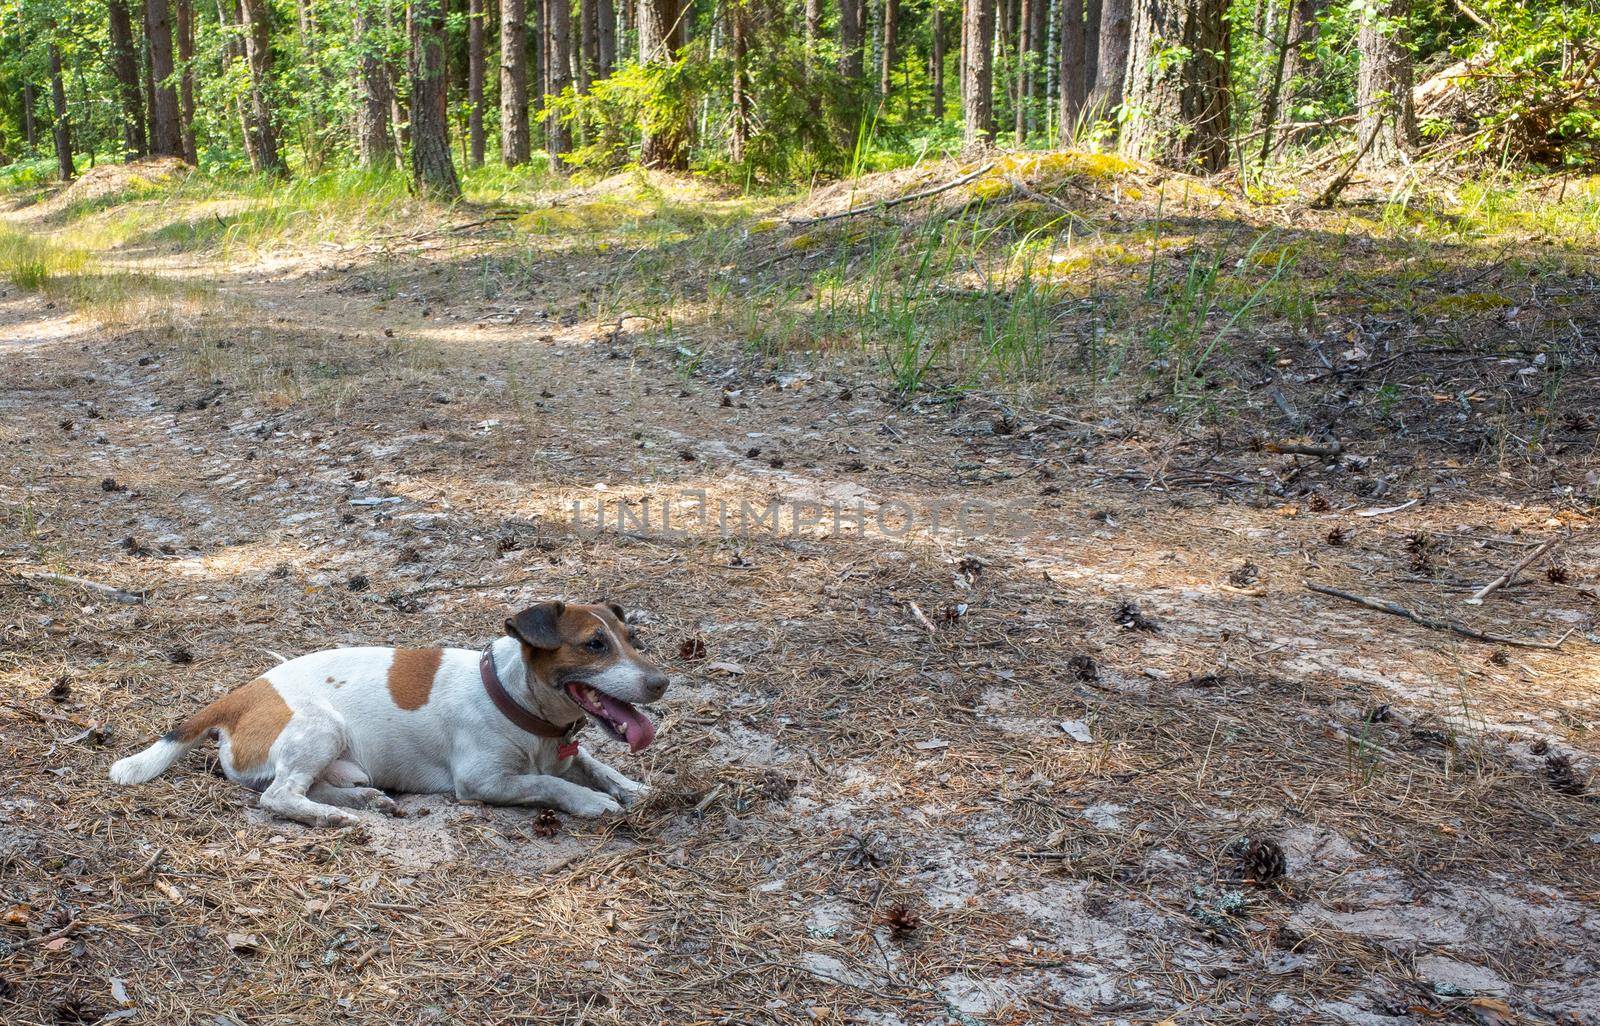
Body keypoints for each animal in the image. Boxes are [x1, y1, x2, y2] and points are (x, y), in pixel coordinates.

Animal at [108, 601, 668, 825]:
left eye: (632, 639)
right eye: (594, 644)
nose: (662, 682)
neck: (516, 702)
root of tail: (241, 695)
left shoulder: (567, 752)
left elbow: (595, 764)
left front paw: (631, 787)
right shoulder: (483, 782)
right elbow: (549, 783)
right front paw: (590, 801)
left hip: (337, 758)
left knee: (300, 788)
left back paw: (362, 800)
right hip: (321, 728)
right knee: (279, 797)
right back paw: (336, 817)